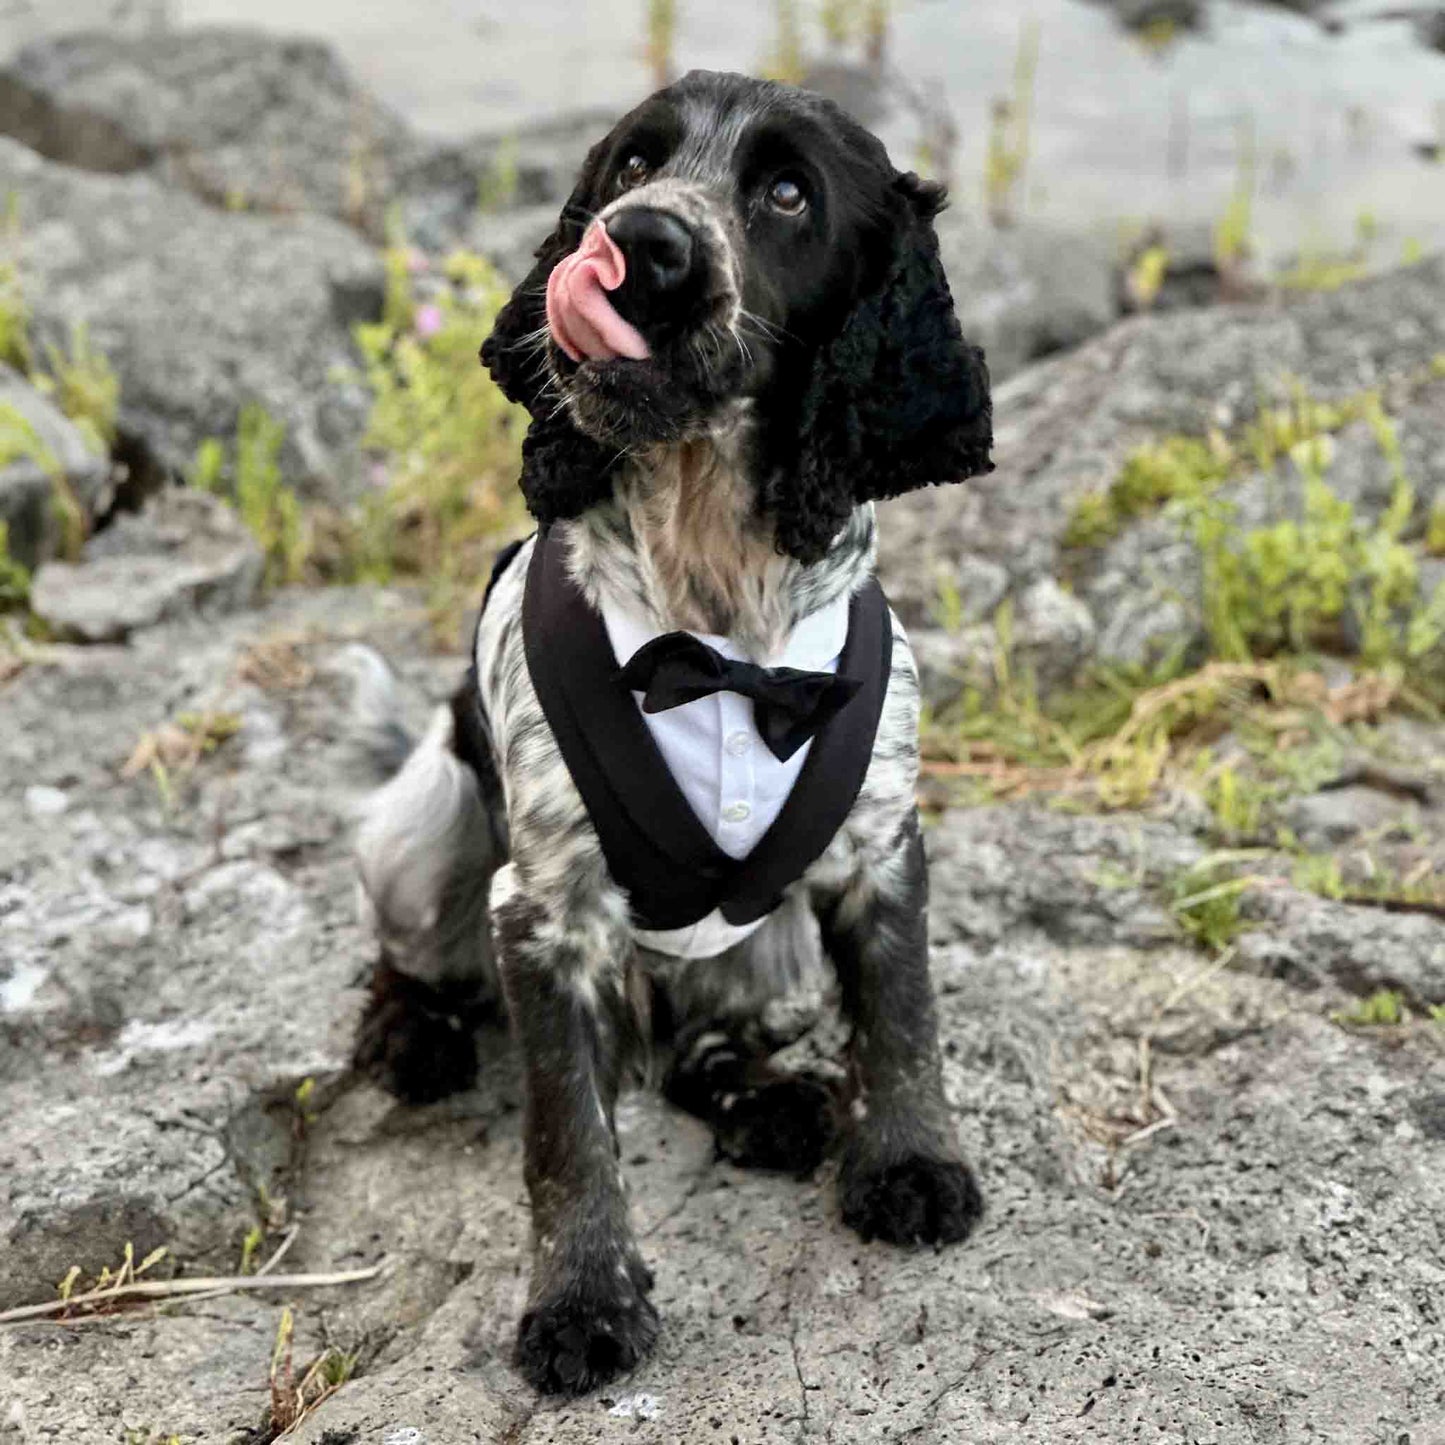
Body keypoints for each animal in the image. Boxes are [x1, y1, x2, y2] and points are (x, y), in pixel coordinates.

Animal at [352, 70, 994, 1398]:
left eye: (788, 192)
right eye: (634, 164)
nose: (639, 242)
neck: (716, 627)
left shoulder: (879, 846)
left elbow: (903, 1018)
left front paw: (909, 1164)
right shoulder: (543, 909)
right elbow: (567, 1133)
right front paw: (581, 1302)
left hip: (766, 944)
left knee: (706, 1029)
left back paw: (765, 1099)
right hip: (423, 820)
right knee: (410, 951)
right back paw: (410, 1031)